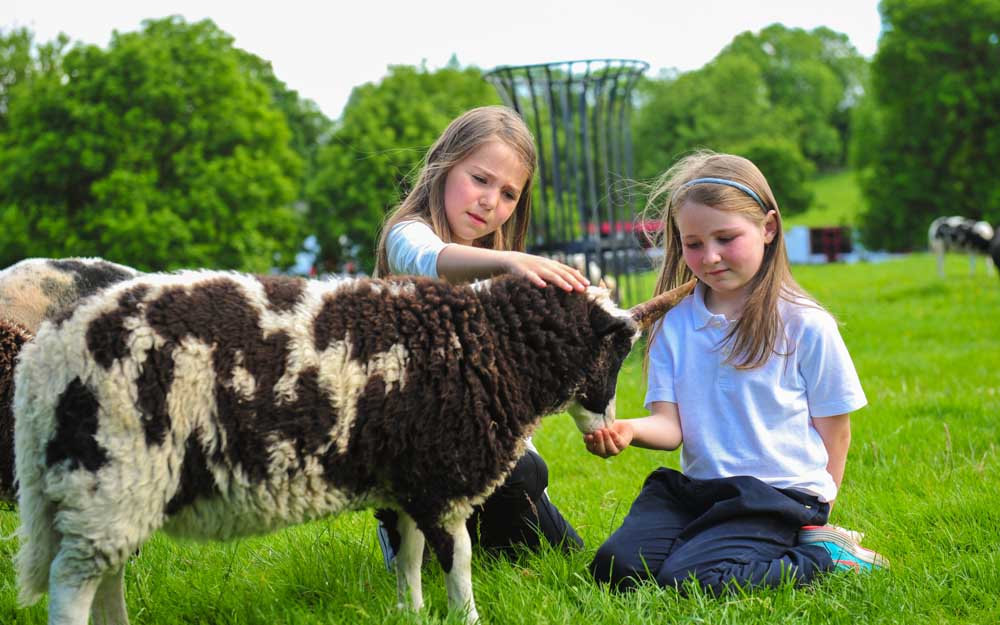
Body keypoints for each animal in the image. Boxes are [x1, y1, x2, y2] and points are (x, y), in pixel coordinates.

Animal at [13, 270, 696, 624]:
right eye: (620, 350)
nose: (607, 430)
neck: (492, 345)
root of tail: (46, 352)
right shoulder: (443, 480)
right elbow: (459, 562)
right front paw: (466, 617)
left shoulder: (406, 480)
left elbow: (411, 556)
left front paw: (411, 612)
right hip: (109, 475)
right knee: (72, 582)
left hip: (114, 493)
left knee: (104, 576)